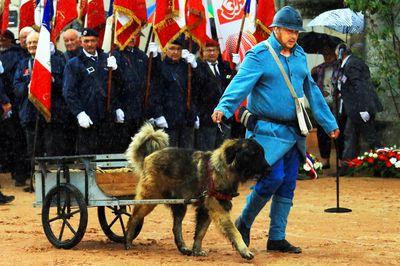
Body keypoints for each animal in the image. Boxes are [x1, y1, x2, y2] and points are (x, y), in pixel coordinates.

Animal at [125, 124, 268, 260]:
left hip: (180, 205)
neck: (223, 168)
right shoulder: (218, 209)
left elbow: (200, 232)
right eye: (254, 154)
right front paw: (244, 250)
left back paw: (183, 248)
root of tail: (148, 157)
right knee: (134, 218)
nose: (269, 169)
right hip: (149, 200)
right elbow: (234, 231)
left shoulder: (206, 210)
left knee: (176, 227)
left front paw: (197, 251)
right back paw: (127, 241)